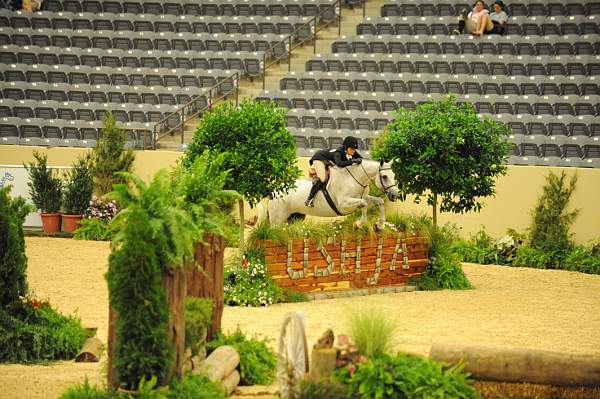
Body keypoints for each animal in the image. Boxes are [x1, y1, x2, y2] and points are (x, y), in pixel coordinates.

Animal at [258, 159, 398, 230]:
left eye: (394, 175)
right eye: (384, 177)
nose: (394, 196)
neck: (355, 178)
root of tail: (274, 192)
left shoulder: (363, 197)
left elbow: (379, 201)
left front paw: (380, 225)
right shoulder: (343, 205)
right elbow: (363, 205)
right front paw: (358, 224)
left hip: (295, 218)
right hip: (277, 221)